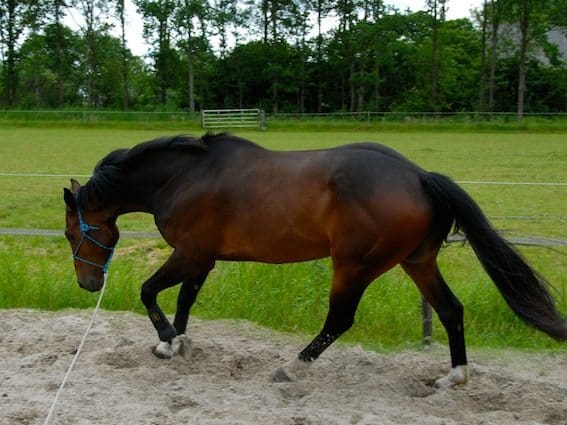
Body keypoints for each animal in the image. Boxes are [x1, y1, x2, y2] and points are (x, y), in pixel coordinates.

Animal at [63, 132, 567, 388]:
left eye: (71, 232)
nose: (88, 284)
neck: (183, 176)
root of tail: (421, 175)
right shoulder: (201, 259)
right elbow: (185, 301)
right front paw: (175, 345)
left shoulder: (189, 254)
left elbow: (148, 291)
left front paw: (168, 339)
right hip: (417, 261)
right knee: (450, 310)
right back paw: (454, 377)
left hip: (355, 266)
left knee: (339, 320)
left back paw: (291, 367)